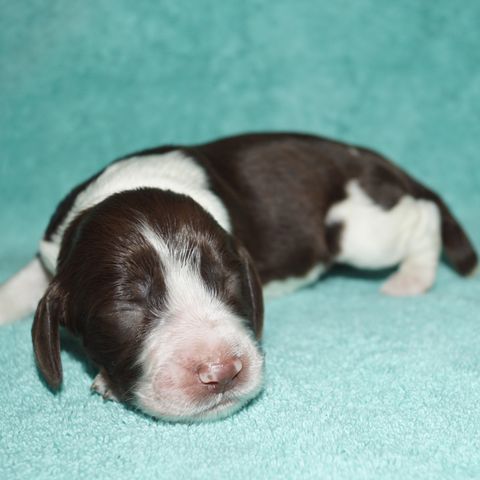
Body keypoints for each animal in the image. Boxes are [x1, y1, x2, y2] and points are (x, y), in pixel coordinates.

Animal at [0, 133, 476, 422]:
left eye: (227, 282)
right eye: (126, 306)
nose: (222, 372)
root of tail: (375, 160)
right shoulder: (49, 257)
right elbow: (24, 284)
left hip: (361, 230)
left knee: (423, 216)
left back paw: (413, 276)